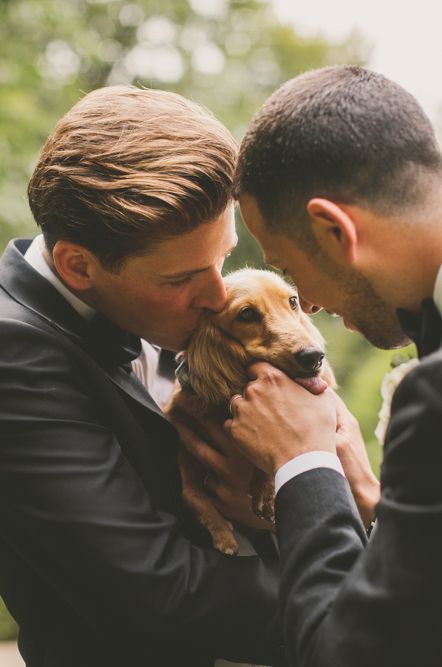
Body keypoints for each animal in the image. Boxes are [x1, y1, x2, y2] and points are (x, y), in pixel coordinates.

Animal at [168, 268, 334, 556]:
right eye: (246, 314)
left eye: (293, 301)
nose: (314, 357)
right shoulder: (185, 452)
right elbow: (191, 495)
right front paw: (222, 535)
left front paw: (265, 493)